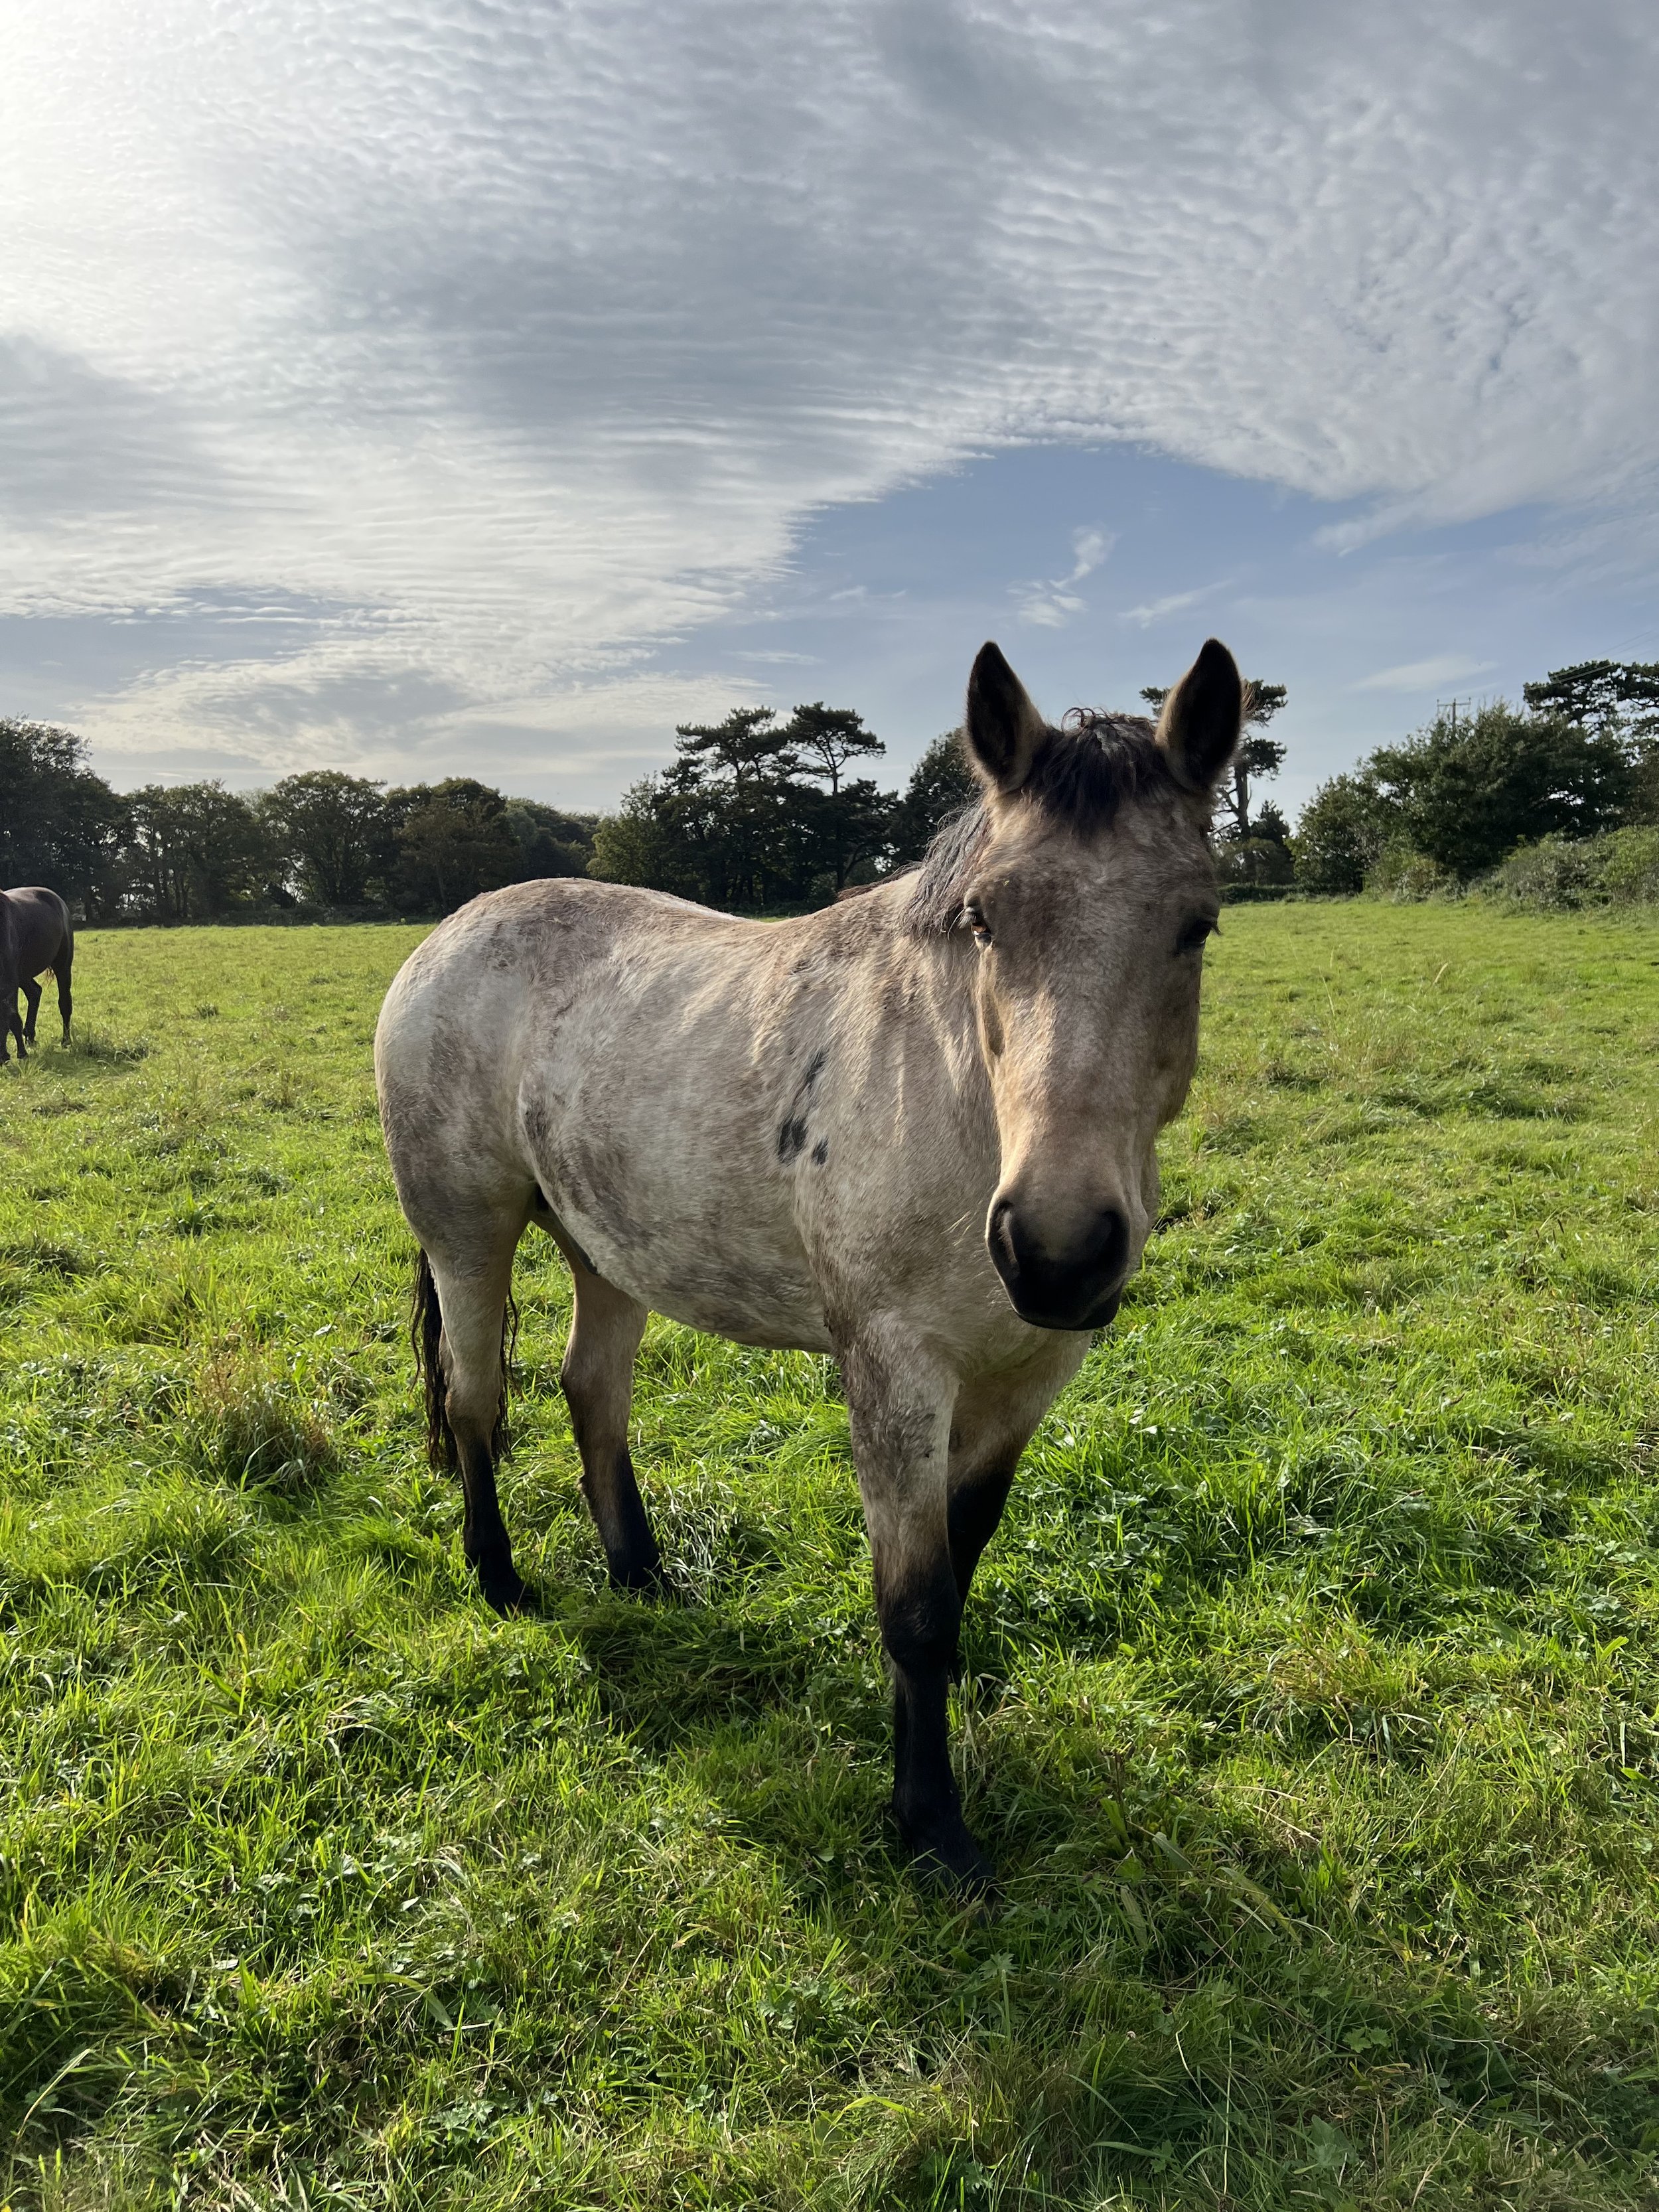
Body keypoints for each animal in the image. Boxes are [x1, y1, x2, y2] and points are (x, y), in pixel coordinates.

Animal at [0, 887, 74, 1062]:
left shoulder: (10, 982)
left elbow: (11, 1017)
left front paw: (20, 1055)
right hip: (23, 975)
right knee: (35, 992)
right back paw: (30, 1036)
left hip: (63, 966)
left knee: (65, 1003)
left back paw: (66, 1041)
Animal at [375, 636, 1243, 1888]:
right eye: (985, 919)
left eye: (1196, 925)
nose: (1056, 1246)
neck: (958, 1109)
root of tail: (446, 936)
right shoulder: (894, 1370)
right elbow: (915, 1604)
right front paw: (930, 1826)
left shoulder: (1027, 1377)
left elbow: (957, 1567)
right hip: (468, 1233)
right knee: (477, 1399)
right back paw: (497, 1577)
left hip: (606, 1245)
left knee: (592, 1391)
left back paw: (643, 1573)